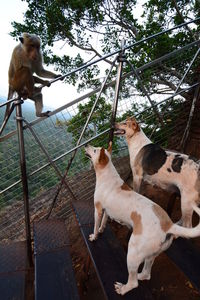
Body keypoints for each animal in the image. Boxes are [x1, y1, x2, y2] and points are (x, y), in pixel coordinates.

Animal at [85, 144, 200, 296]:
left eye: (95, 150)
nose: (86, 145)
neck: (107, 176)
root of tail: (168, 226)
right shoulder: (106, 211)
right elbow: (103, 223)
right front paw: (102, 229)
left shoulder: (97, 210)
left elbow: (95, 226)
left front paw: (94, 236)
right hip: (151, 255)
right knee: (146, 274)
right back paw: (140, 276)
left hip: (133, 253)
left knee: (134, 282)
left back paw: (123, 288)